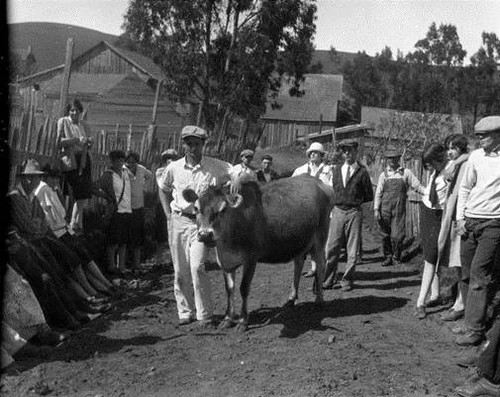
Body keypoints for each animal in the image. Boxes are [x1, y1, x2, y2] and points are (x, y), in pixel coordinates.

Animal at [182, 174, 334, 332]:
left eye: (223, 210)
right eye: (196, 209)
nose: (205, 234)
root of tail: (317, 181)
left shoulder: (251, 259)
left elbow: (243, 288)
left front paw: (243, 321)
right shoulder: (225, 262)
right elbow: (229, 289)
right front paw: (227, 319)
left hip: (321, 237)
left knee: (321, 265)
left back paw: (319, 300)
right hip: (300, 241)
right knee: (298, 264)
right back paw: (291, 299)